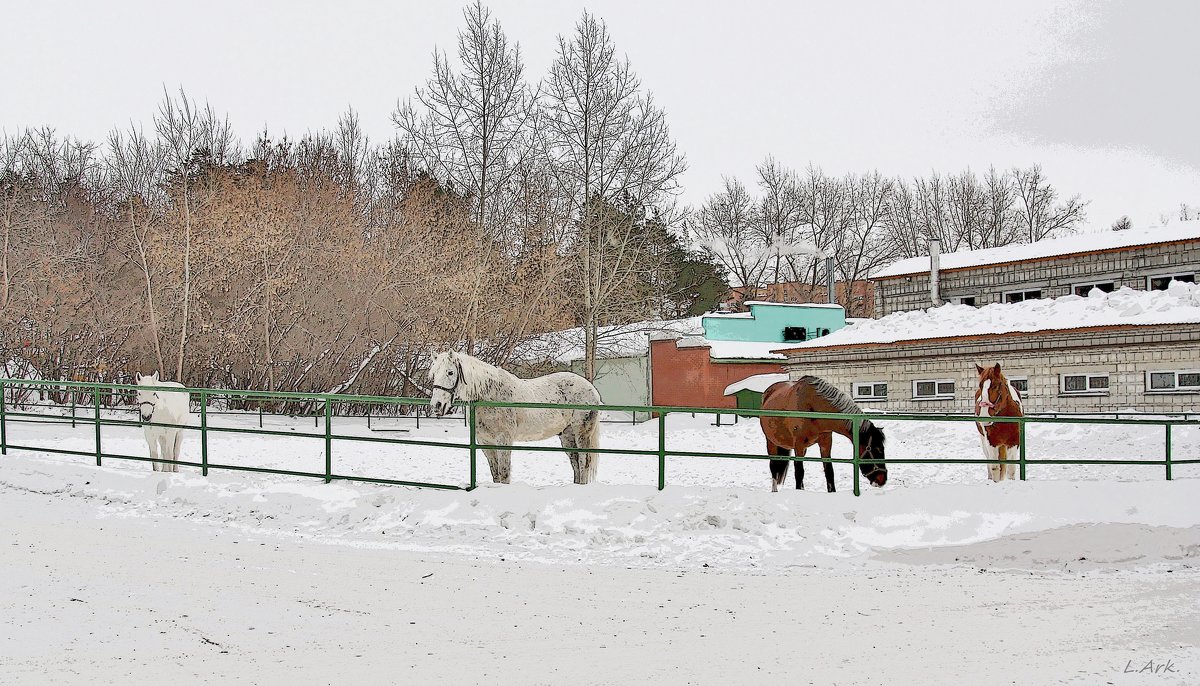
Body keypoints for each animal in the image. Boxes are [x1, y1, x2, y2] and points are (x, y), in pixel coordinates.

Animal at [429, 350, 600, 484]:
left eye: (450, 372)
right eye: (434, 374)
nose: (437, 405)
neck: (490, 395)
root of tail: (592, 390)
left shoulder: (503, 440)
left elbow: (504, 474)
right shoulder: (485, 442)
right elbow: (495, 474)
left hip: (581, 433)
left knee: (584, 462)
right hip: (567, 436)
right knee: (575, 463)